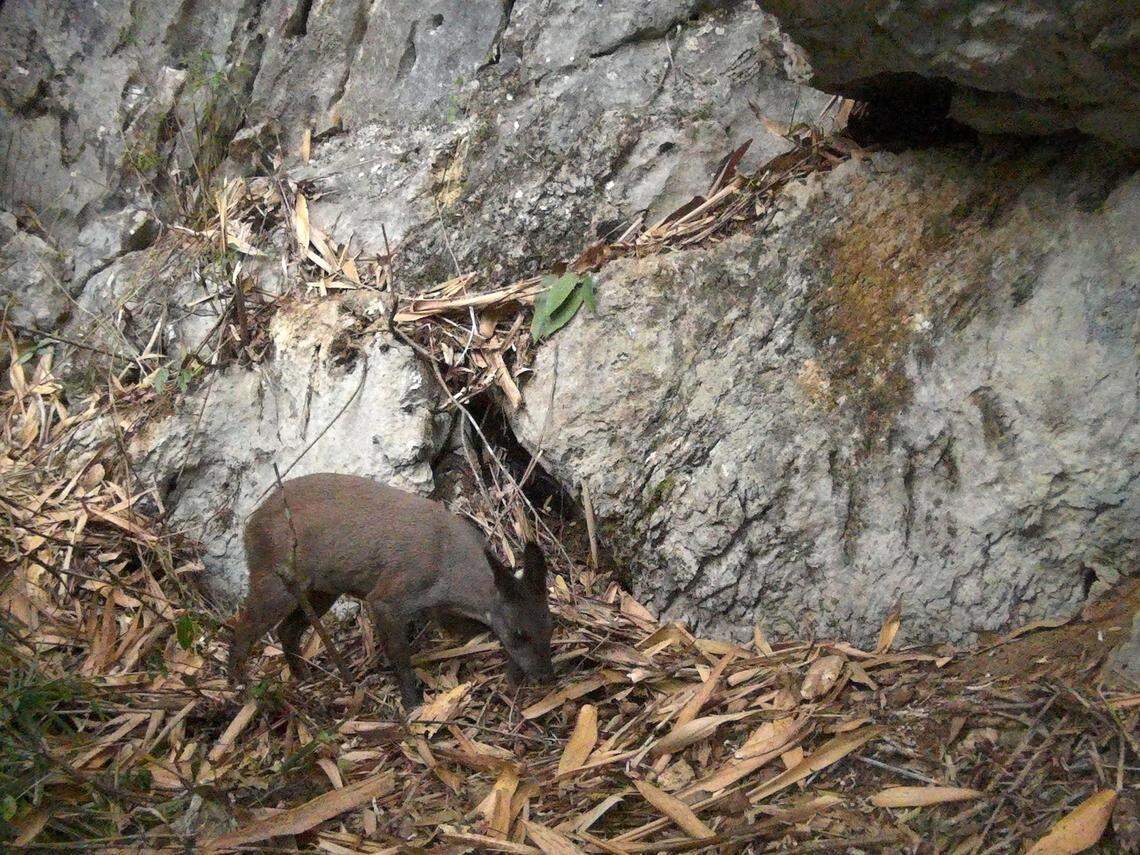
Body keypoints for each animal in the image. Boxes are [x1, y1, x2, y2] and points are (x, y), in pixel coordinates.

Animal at [226, 472, 554, 707]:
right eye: (518, 633)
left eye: (550, 628)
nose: (545, 675)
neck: (448, 566)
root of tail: (248, 526)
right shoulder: (388, 597)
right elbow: (399, 654)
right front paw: (412, 703)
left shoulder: (439, 610)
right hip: (272, 580)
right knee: (242, 628)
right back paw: (240, 689)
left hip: (320, 589)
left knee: (287, 629)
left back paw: (302, 677)